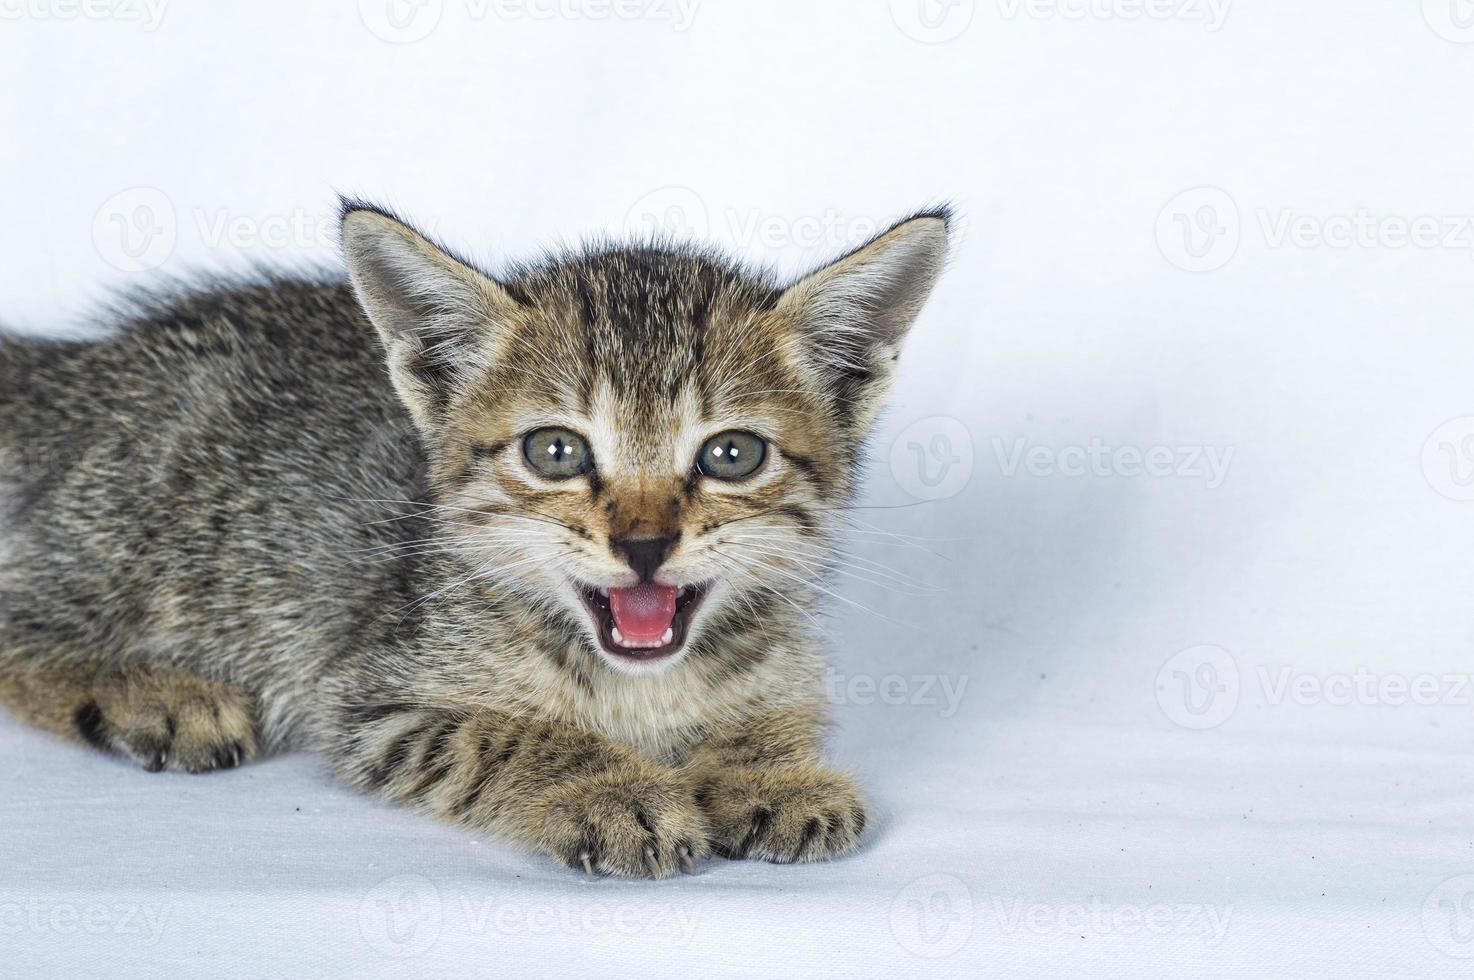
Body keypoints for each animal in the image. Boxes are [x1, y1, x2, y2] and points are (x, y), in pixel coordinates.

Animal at [0, 201, 943, 872]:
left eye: (732, 455)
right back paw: (155, 693)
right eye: (556, 451)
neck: (635, 687)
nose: (644, 546)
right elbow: (510, 734)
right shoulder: (372, 698)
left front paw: (768, 769)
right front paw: (615, 790)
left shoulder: (783, 657)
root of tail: (78, 369)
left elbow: (770, 707)